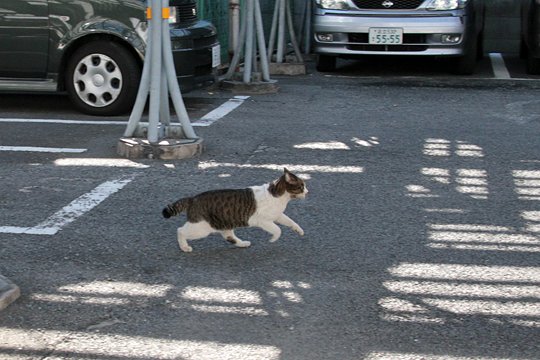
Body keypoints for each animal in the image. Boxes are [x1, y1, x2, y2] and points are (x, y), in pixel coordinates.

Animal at [162, 169, 308, 253]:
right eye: (301, 186)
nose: (307, 191)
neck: (279, 196)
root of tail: (193, 198)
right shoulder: (263, 221)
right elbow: (278, 230)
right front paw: (273, 239)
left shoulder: (277, 215)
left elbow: (290, 221)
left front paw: (299, 230)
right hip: (200, 228)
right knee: (180, 230)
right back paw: (184, 247)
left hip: (223, 223)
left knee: (229, 236)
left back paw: (242, 243)